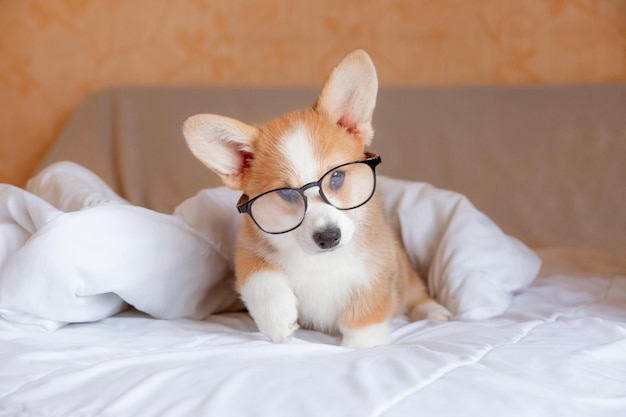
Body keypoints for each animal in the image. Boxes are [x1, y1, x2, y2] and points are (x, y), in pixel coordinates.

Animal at [182, 49, 448, 348]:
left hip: (407, 274)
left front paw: (359, 349)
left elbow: (364, 325)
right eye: (286, 192)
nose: (328, 237)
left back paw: (434, 311)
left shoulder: (374, 275)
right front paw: (277, 319)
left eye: (336, 177)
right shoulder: (247, 247)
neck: (320, 263)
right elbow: (258, 274)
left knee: (416, 293)